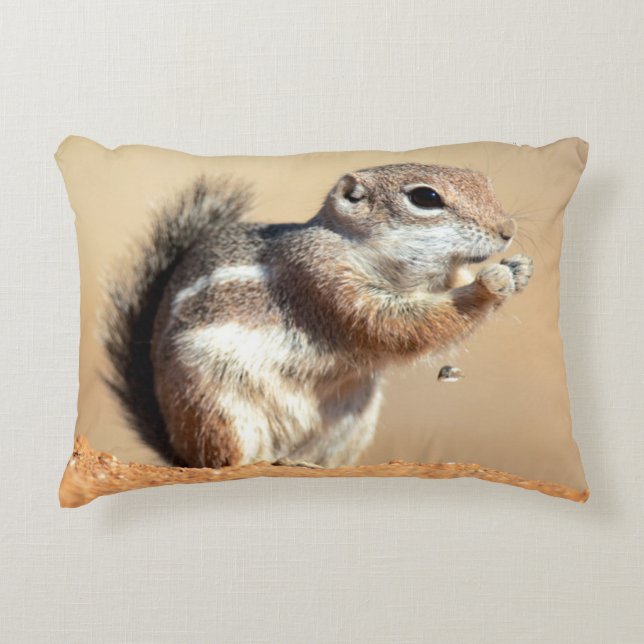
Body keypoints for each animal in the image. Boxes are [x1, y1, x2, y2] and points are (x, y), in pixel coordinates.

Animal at [103, 163, 533, 469]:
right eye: (425, 197)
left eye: (484, 181)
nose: (507, 229)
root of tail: (179, 450)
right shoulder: (320, 278)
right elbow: (395, 325)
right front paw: (489, 284)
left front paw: (520, 270)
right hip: (214, 406)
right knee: (222, 460)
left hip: (351, 421)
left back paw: (303, 463)